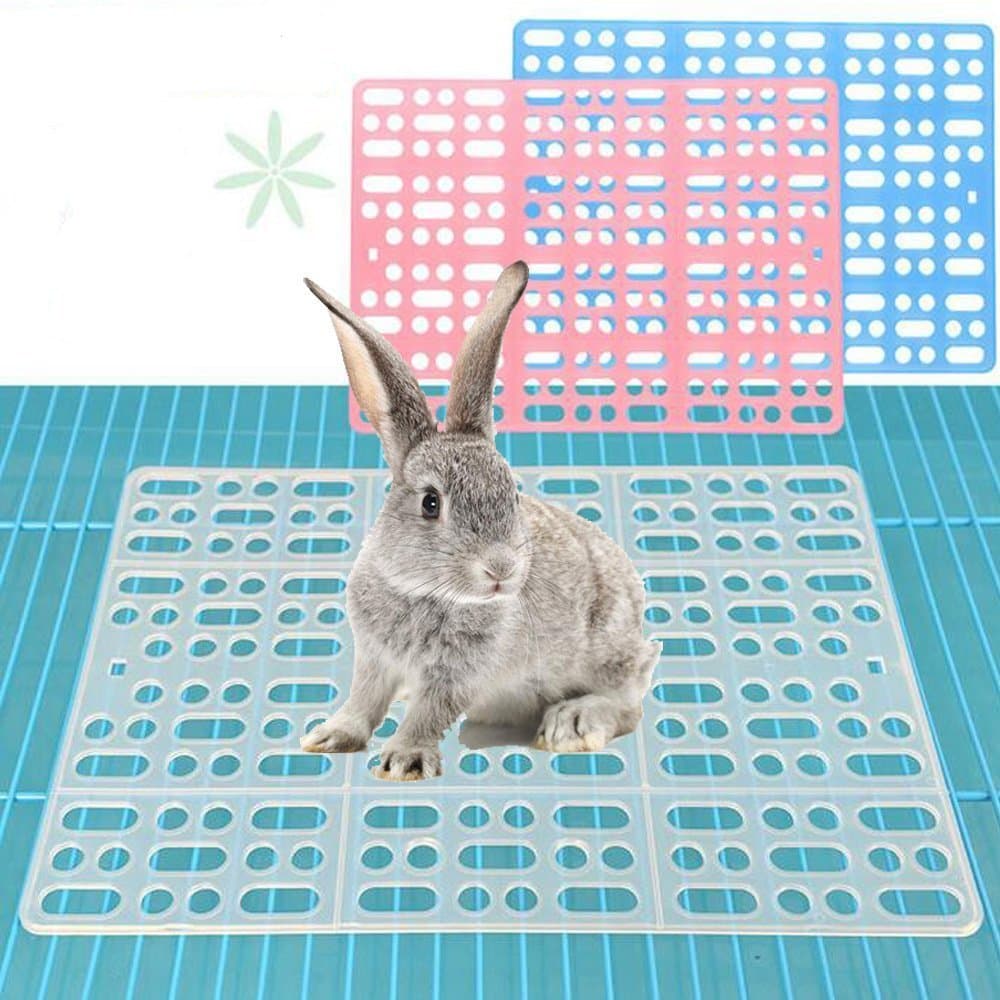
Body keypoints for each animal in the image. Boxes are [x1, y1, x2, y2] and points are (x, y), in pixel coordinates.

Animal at [300, 261, 658, 780]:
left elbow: (429, 712)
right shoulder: (374, 658)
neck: (425, 591)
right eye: (431, 503)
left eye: (512, 493)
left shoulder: (459, 673)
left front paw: (403, 760)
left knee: (629, 700)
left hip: (607, 649)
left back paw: (571, 723)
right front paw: (329, 737)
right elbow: (364, 700)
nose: (501, 569)